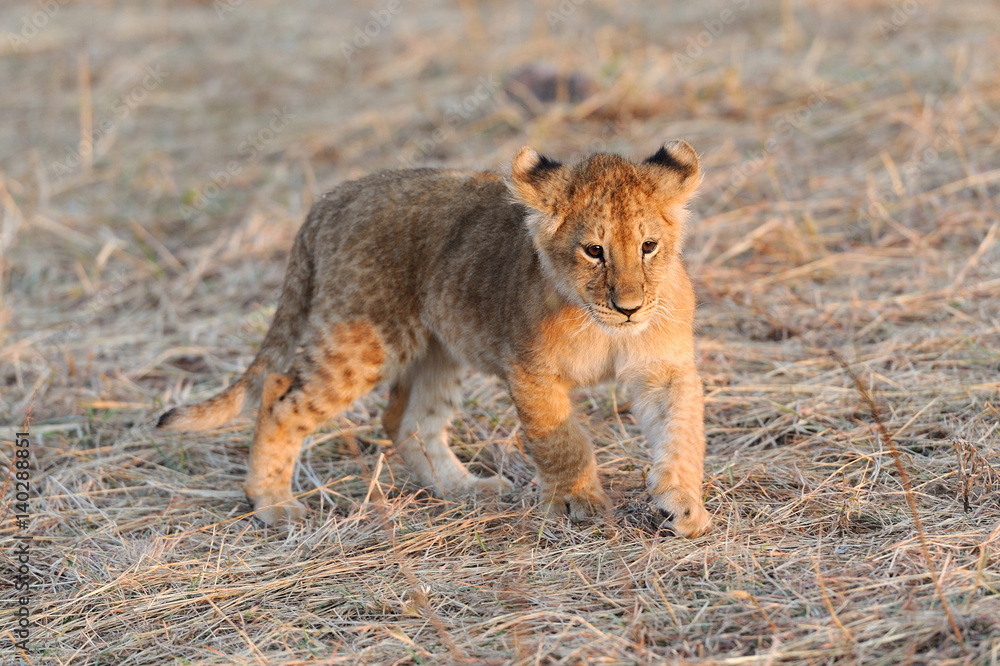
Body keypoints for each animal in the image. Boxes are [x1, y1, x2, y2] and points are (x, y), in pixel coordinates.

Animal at [157, 140, 711, 537]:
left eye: (649, 246)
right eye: (594, 251)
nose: (629, 307)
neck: (601, 327)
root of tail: (333, 199)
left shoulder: (664, 369)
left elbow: (681, 433)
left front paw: (682, 506)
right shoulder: (530, 369)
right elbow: (561, 441)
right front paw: (581, 502)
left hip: (439, 349)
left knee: (409, 422)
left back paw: (467, 489)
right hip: (362, 342)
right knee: (279, 396)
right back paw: (273, 505)